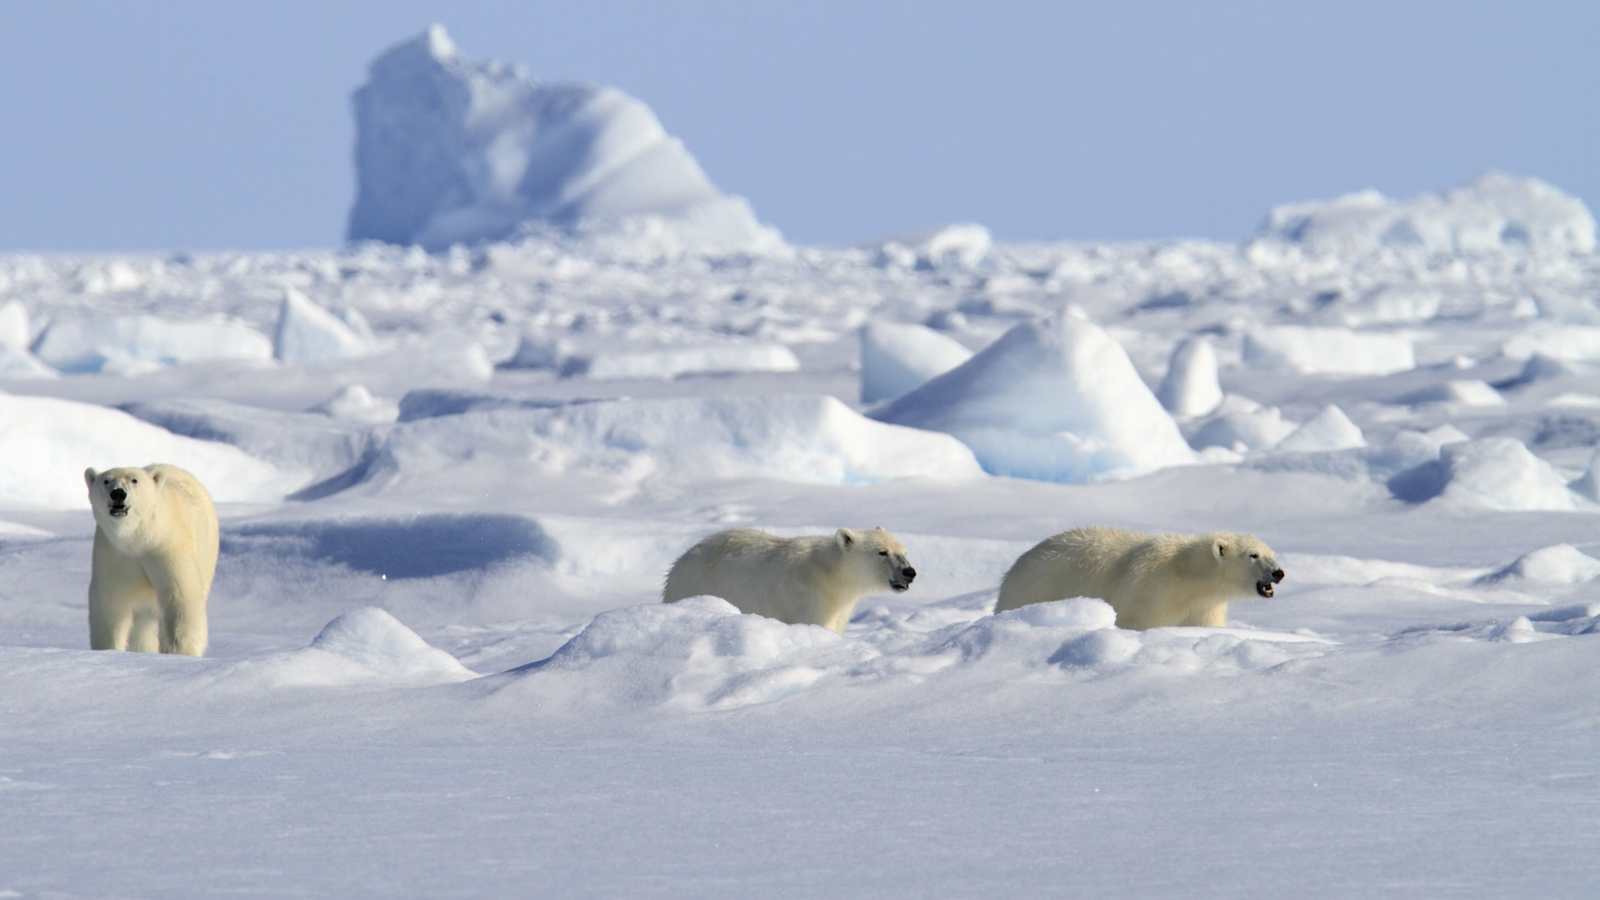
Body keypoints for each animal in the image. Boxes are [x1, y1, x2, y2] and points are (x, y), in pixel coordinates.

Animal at [82, 461, 219, 650]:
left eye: (134, 480)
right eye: (106, 481)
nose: (118, 493)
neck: (139, 538)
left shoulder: (165, 547)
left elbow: (180, 594)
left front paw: (180, 649)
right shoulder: (115, 554)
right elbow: (110, 600)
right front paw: (109, 649)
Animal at [659, 525, 915, 630]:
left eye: (903, 551)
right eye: (882, 552)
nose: (909, 572)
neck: (831, 574)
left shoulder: (840, 606)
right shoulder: (807, 598)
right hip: (695, 585)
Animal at [992, 522, 1280, 627]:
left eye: (1271, 552)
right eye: (1253, 555)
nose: (1279, 573)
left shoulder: (1204, 607)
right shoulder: (1151, 593)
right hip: (1033, 590)